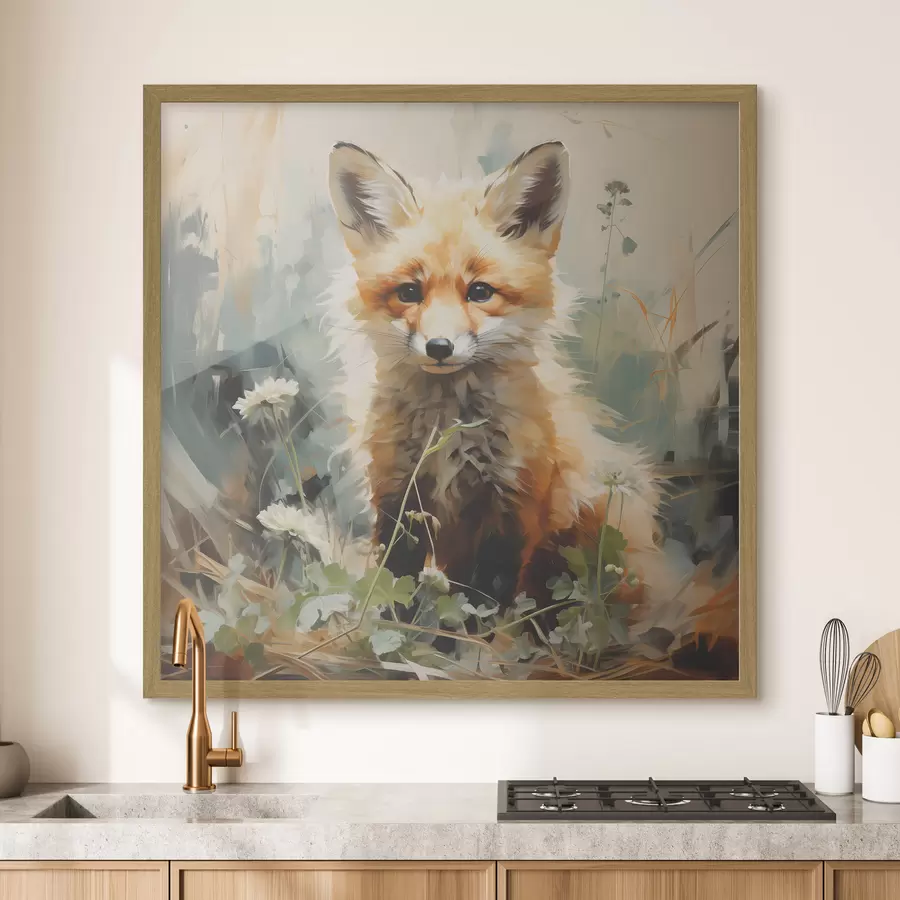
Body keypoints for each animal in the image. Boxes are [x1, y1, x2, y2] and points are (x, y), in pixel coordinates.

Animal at [325, 140, 669, 612]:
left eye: (480, 292)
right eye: (409, 292)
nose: (439, 348)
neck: (448, 425)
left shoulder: (512, 505)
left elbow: (485, 602)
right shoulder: (397, 494)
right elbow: (395, 583)